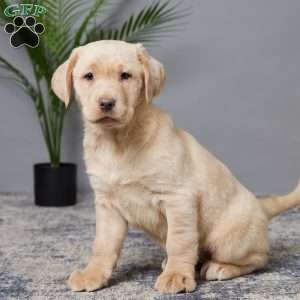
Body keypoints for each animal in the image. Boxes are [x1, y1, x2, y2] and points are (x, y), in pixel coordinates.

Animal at [51, 39, 300, 292]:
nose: (106, 103)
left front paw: (176, 276)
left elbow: (179, 241)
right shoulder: (107, 205)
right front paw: (92, 274)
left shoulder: (178, 198)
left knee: (258, 259)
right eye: (89, 76)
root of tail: (260, 206)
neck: (119, 142)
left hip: (229, 240)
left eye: (125, 76)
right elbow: (103, 245)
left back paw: (221, 267)